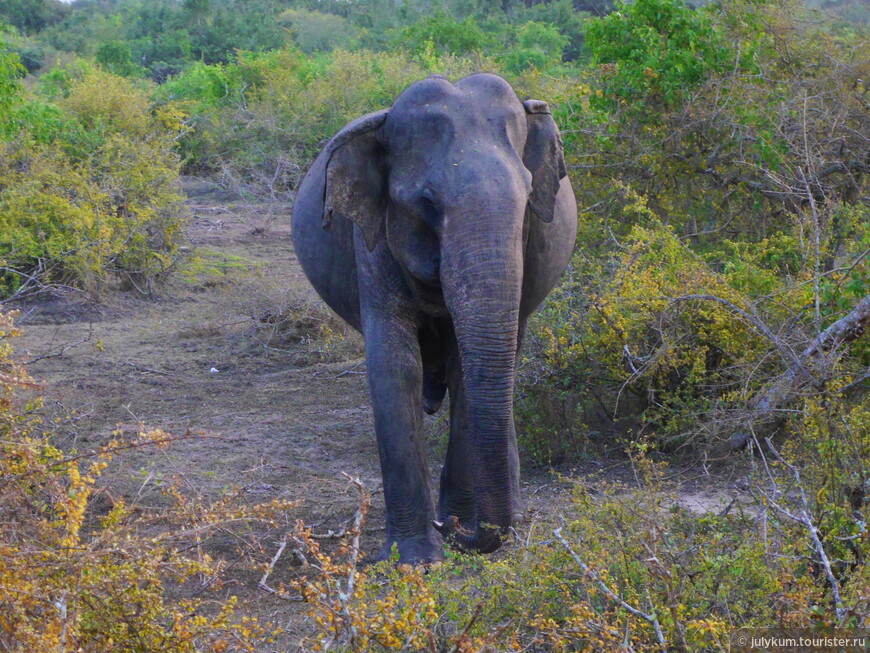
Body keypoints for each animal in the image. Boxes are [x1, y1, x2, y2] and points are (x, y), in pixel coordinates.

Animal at [292, 70, 580, 560]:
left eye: (527, 196)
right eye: (427, 201)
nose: (453, 527)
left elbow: (468, 365)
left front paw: (456, 529)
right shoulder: (371, 237)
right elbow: (395, 366)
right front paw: (415, 561)